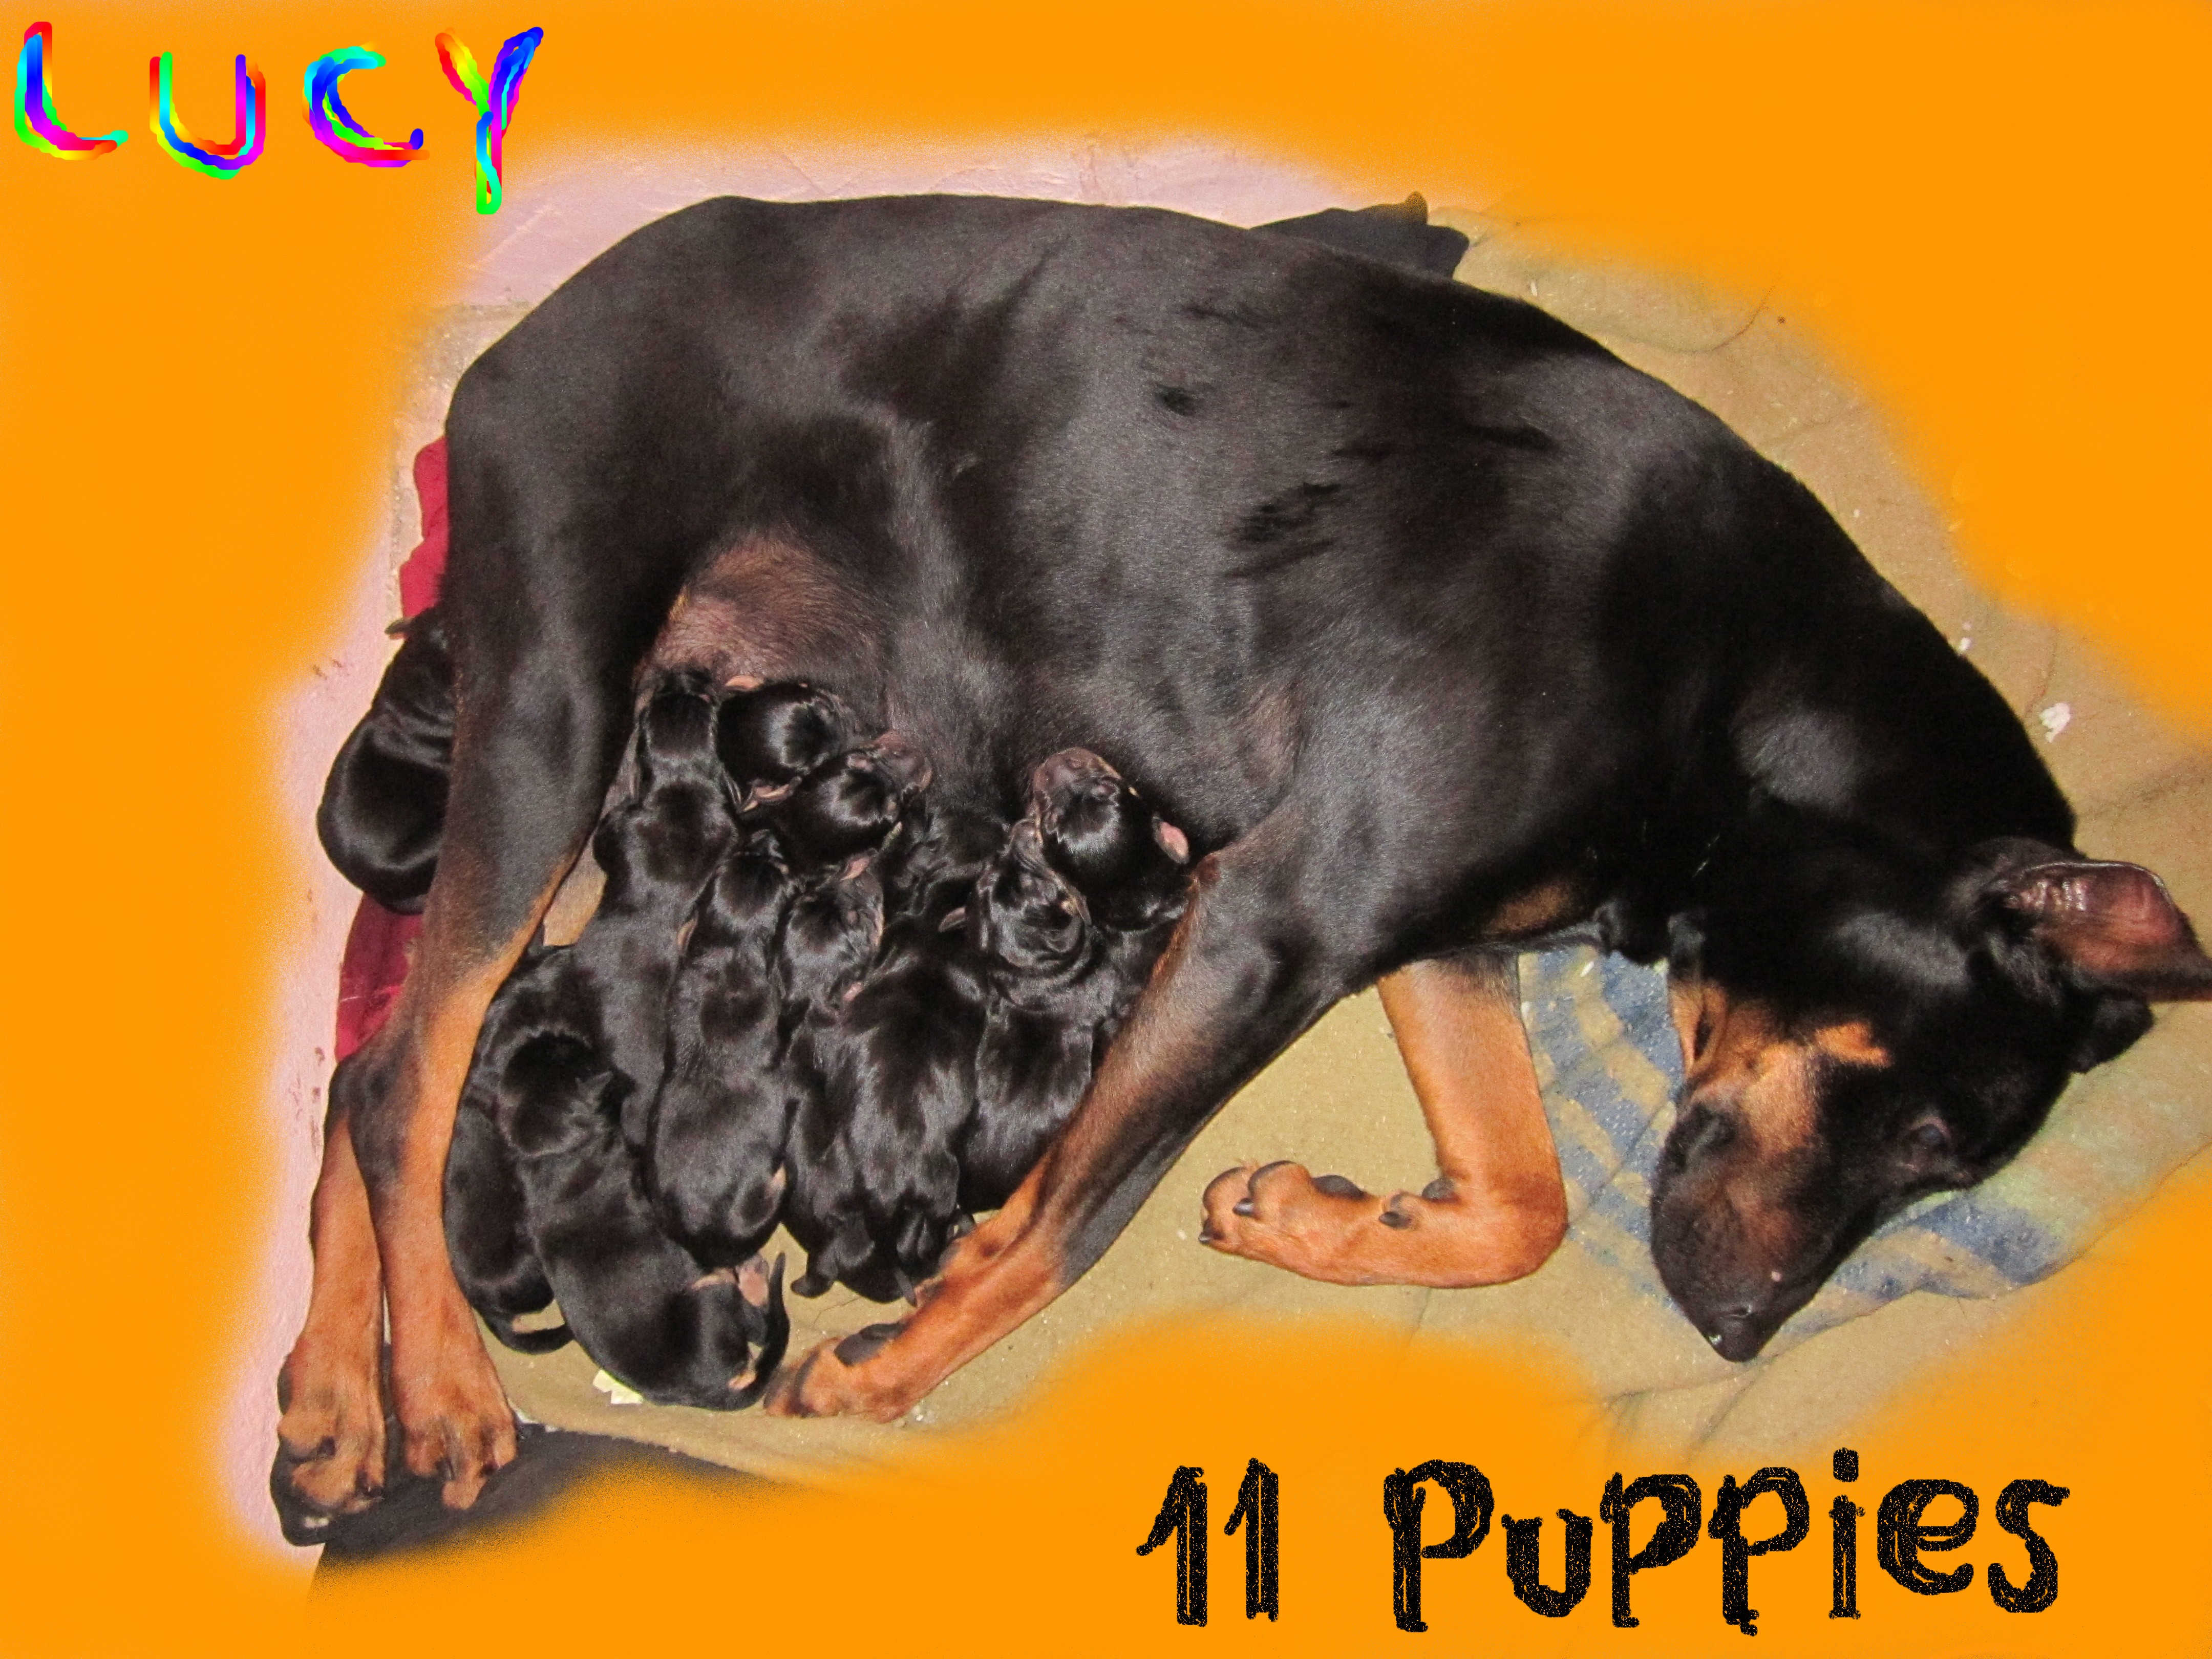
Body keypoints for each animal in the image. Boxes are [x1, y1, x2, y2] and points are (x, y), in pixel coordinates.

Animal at [279, 193, 2212, 1521]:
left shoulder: (1425, 932)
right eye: (1941, 1137)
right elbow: (1070, 1221)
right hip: (560, 695)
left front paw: (1307, 1214)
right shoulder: (1288, 916)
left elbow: (1519, 1202)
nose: (1738, 1338)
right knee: (408, 1070)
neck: (1745, 684)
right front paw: (899, 1358)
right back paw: (438, 1378)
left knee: (384, 1057)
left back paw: (330, 1396)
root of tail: (506, 352)